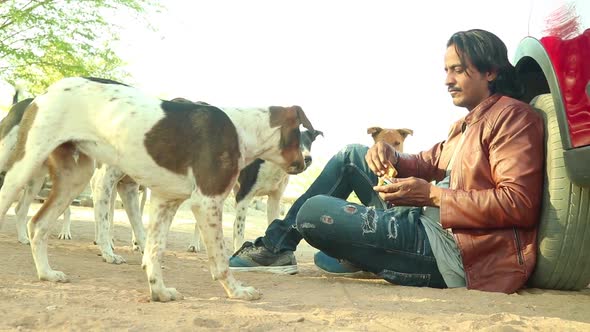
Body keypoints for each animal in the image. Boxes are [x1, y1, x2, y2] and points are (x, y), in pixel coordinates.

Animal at [0, 77, 316, 300]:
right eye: (301, 139)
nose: (307, 162)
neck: (243, 130)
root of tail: (47, 91)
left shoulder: (166, 200)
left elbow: (153, 252)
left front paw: (159, 292)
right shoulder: (207, 201)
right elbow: (220, 260)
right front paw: (236, 291)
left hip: (75, 177)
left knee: (38, 224)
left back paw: (46, 273)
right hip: (24, 166)